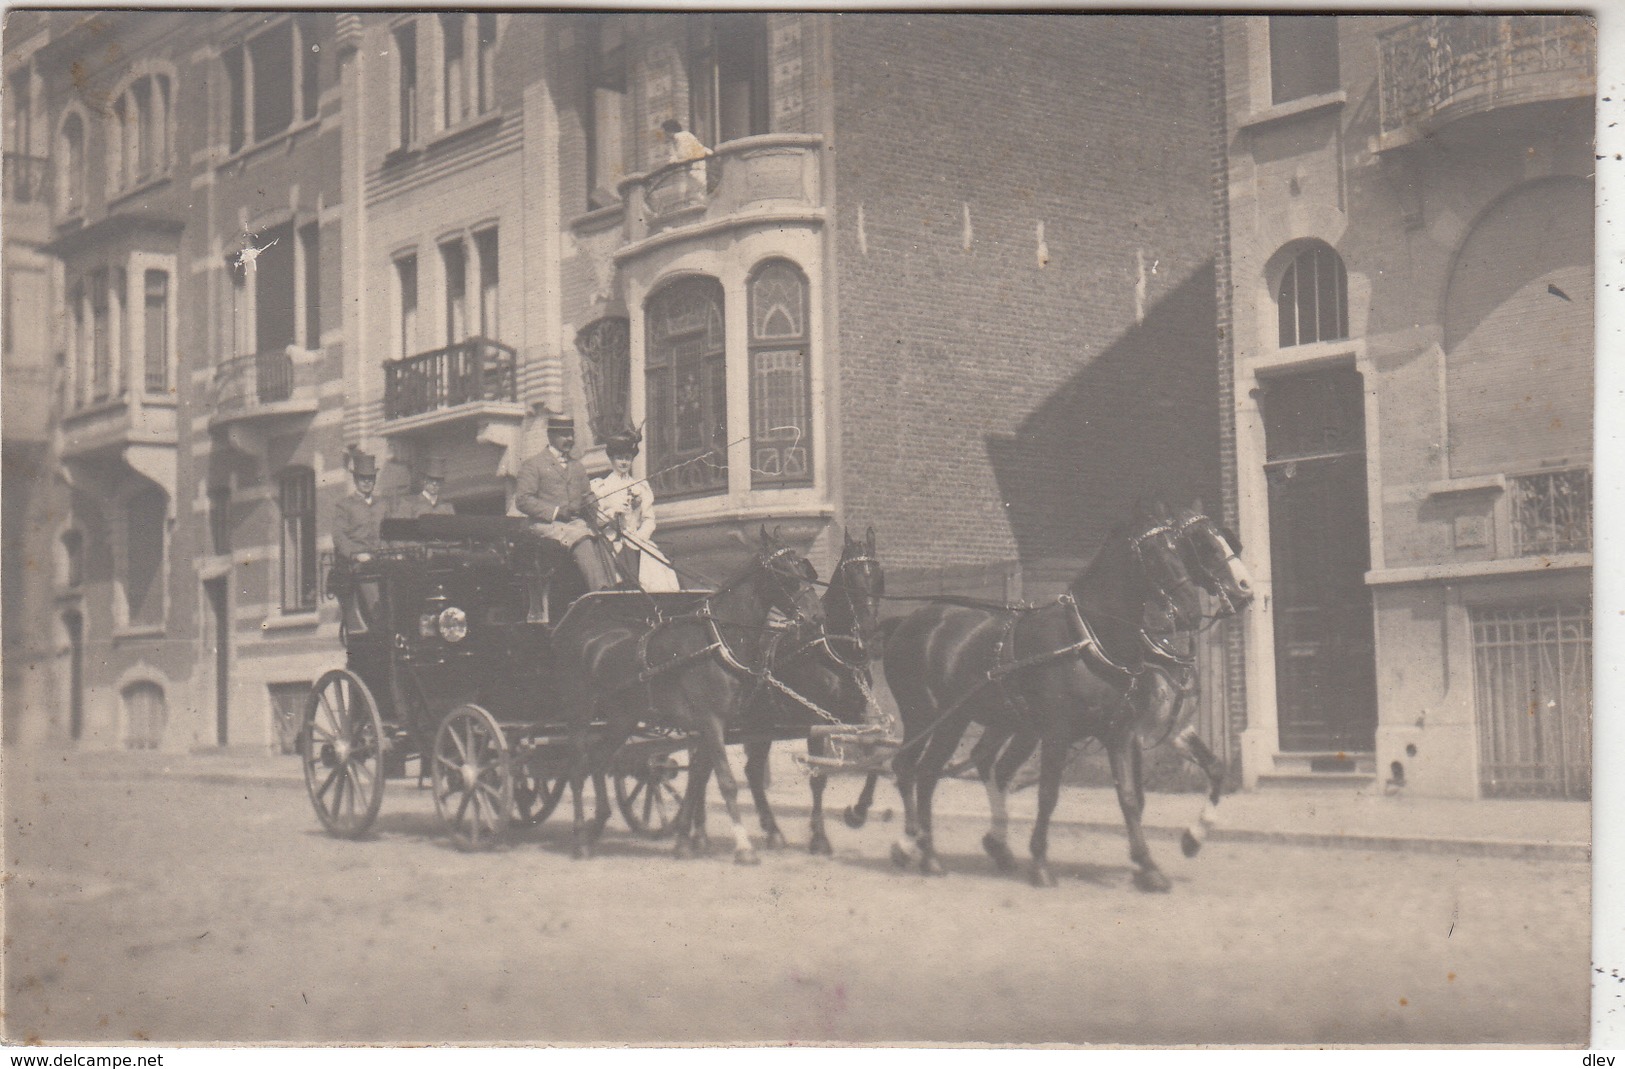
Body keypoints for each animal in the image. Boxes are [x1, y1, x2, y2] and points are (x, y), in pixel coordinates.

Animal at [549, 529, 825, 864]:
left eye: (803, 568)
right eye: (785, 573)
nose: (816, 616)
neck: (719, 639)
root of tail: (580, 635)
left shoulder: (716, 725)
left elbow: (697, 779)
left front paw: (684, 840)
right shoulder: (711, 721)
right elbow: (725, 781)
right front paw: (743, 847)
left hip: (622, 717)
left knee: (600, 761)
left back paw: (597, 824)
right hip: (579, 711)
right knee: (578, 768)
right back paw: (580, 838)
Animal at [877, 500, 1209, 883]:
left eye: (1181, 550)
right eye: (1154, 554)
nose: (1192, 610)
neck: (1088, 639)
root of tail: (906, 622)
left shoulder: (1119, 733)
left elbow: (1128, 796)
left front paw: (1148, 866)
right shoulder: (1056, 731)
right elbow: (1048, 794)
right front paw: (1039, 862)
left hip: (962, 720)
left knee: (927, 771)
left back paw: (925, 848)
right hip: (931, 718)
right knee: (918, 771)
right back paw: (924, 850)